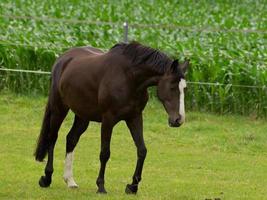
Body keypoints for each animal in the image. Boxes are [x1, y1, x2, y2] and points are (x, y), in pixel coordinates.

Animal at [34, 41, 189, 195]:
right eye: (173, 87)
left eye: (184, 88)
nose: (179, 119)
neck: (129, 78)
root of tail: (62, 59)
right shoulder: (108, 120)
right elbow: (105, 153)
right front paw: (101, 186)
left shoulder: (134, 117)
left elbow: (142, 150)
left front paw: (132, 186)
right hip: (59, 109)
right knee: (52, 138)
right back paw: (47, 178)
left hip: (83, 116)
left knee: (71, 139)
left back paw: (70, 180)